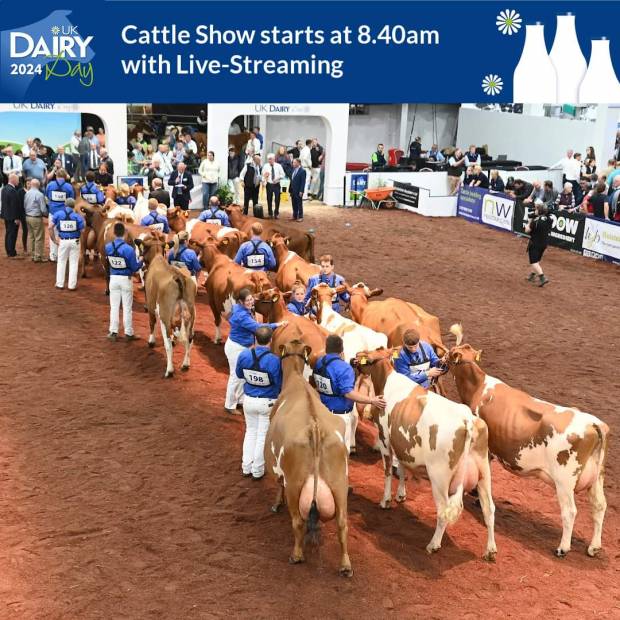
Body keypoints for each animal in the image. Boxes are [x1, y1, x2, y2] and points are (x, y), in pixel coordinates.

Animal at [137, 237, 197, 378]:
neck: (157, 257)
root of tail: (179, 277)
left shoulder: (151, 304)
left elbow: (151, 322)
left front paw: (151, 341)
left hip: (164, 316)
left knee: (168, 343)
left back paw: (169, 370)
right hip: (190, 315)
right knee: (190, 339)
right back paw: (185, 364)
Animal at [266, 340, 354, 576]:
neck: (296, 378)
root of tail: (315, 427)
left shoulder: (278, 469)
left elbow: (277, 484)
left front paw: (275, 504)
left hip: (295, 483)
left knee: (298, 521)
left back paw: (296, 555)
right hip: (339, 483)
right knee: (342, 523)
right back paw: (345, 565)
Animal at [352, 348, 496, 560]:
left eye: (366, 357)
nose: (352, 359)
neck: (387, 382)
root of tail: (467, 420)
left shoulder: (386, 440)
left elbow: (388, 472)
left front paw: (385, 500)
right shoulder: (402, 444)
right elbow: (402, 468)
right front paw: (401, 495)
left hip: (439, 477)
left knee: (443, 511)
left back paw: (433, 544)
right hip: (484, 473)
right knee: (489, 509)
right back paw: (490, 550)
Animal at [444, 324, 608, 556]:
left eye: (450, 354)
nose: (440, 359)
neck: (479, 387)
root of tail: (594, 423)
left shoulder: (488, 448)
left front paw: (475, 493)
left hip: (564, 480)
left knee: (570, 511)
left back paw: (562, 548)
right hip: (597, 478)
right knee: (599, 506)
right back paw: (594, 547)